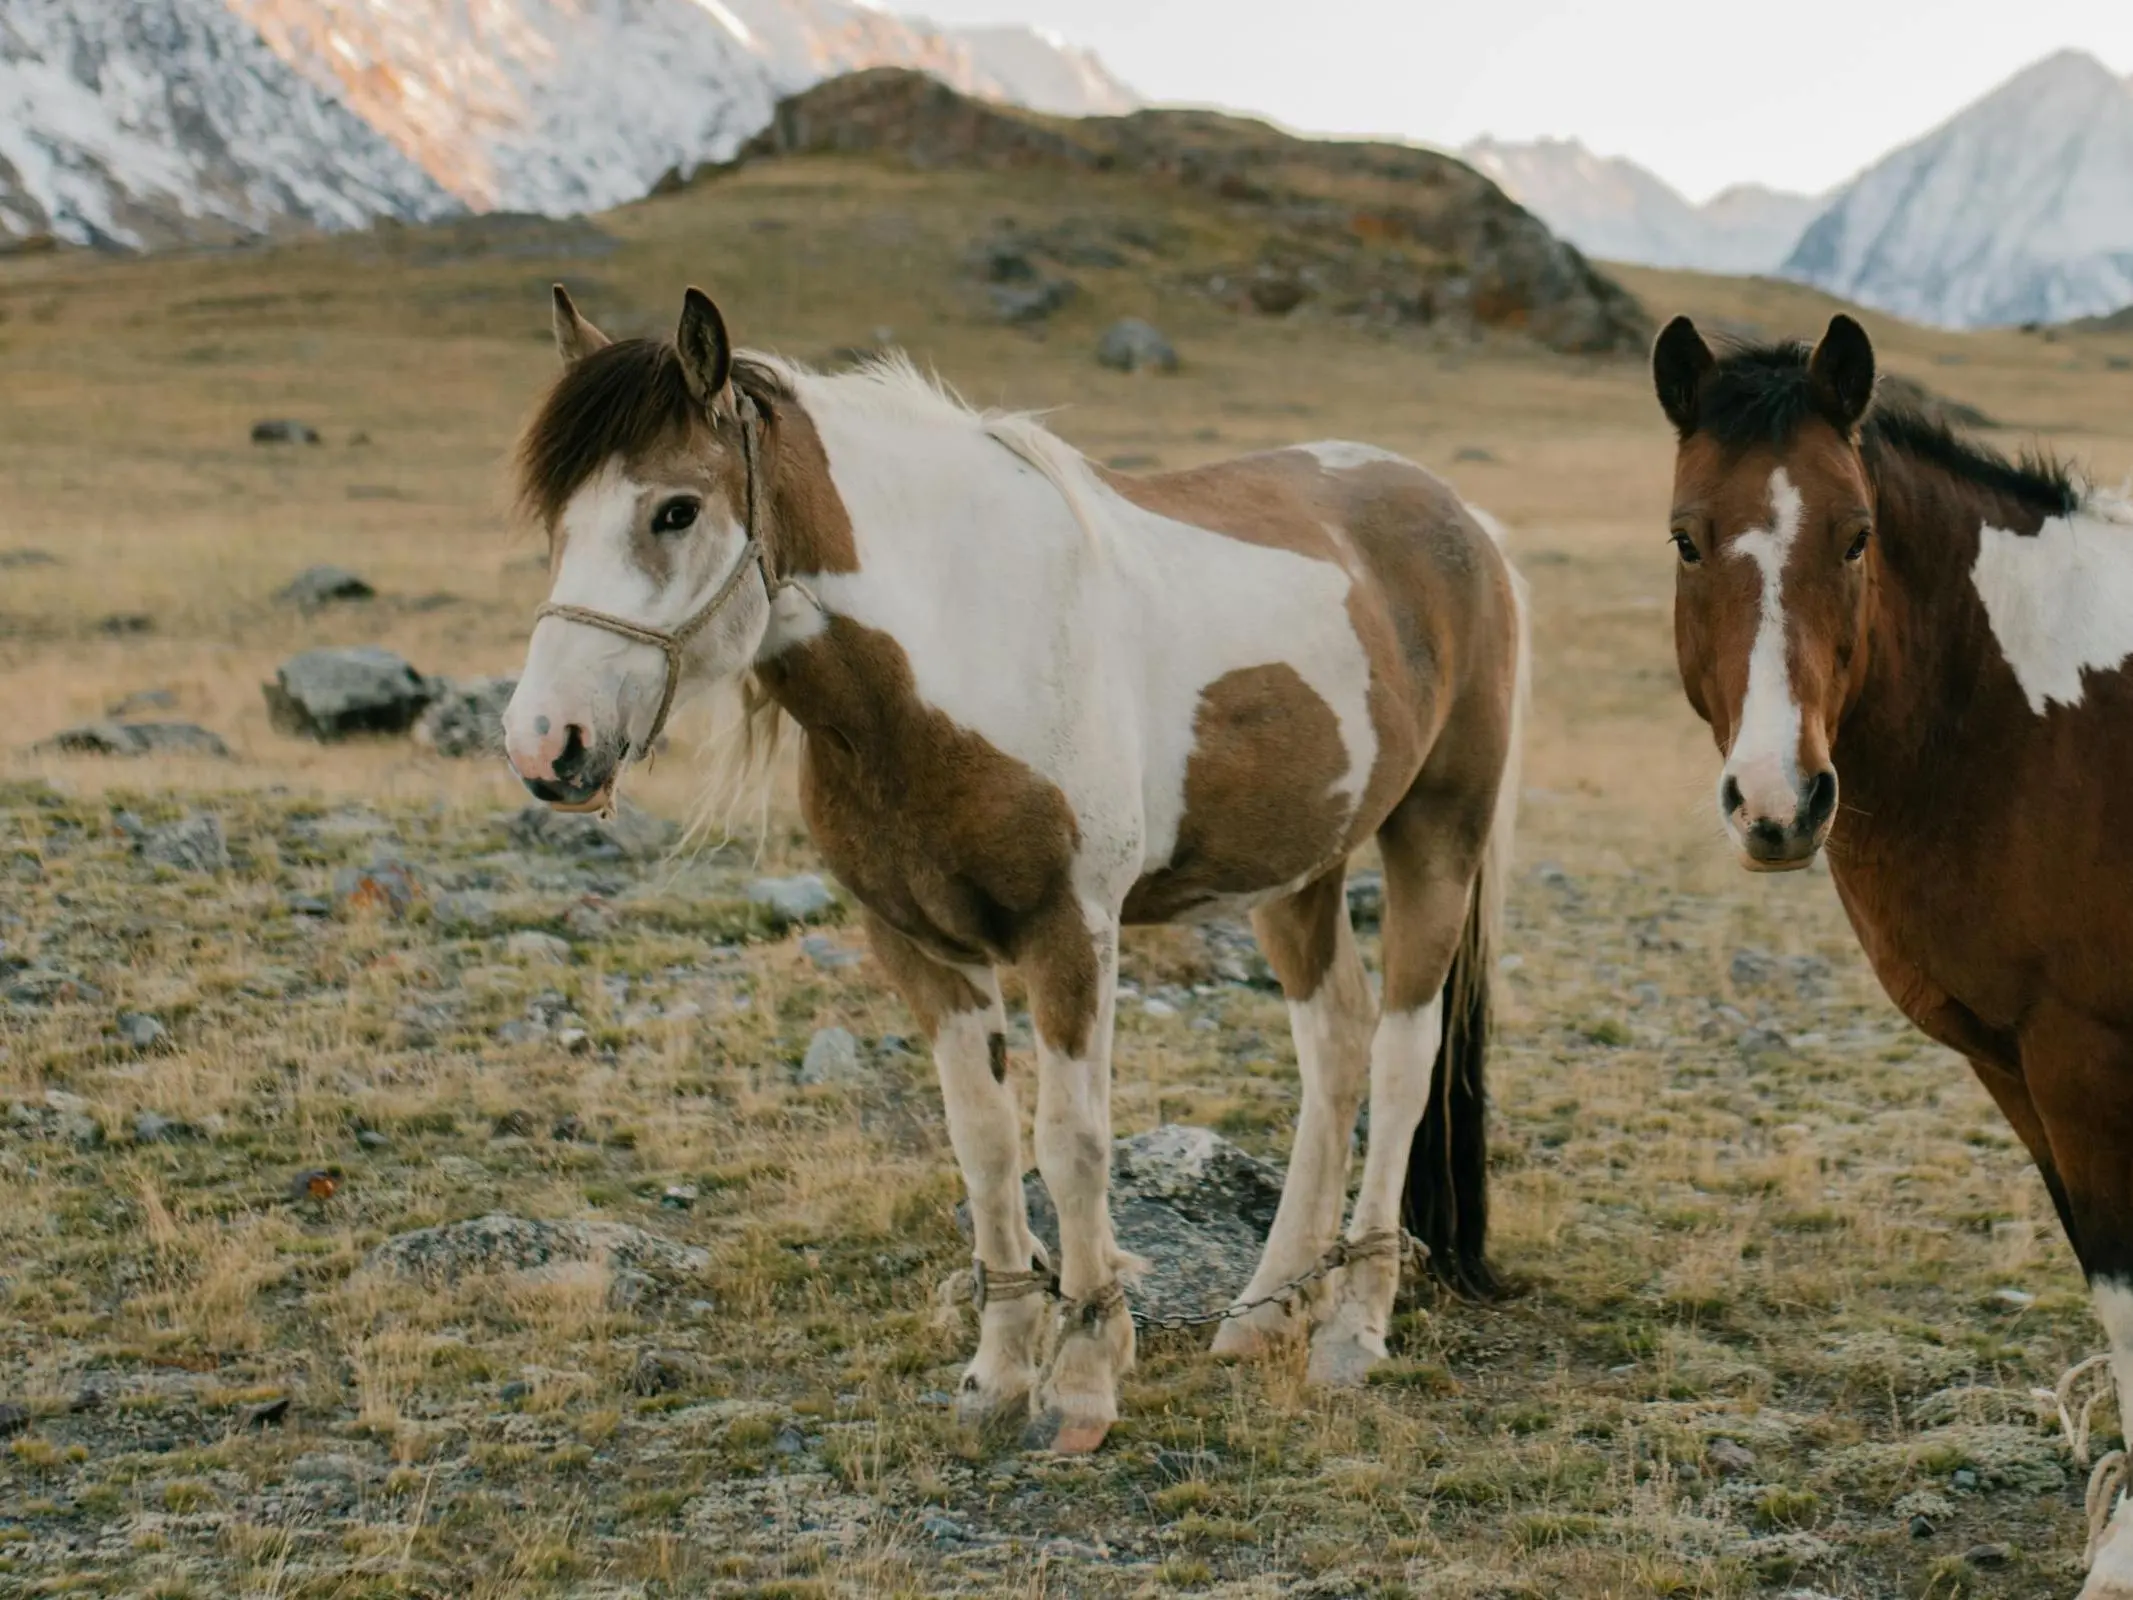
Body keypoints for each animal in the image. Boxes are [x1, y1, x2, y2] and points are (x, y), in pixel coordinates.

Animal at [499, 285, 1535, 1450]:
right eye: (557, 521)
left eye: (674, 510)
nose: (543, 744)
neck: (956, 650)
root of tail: (1461, 520)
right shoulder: (916, 946)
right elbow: (985, 1142)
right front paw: (996, 1370)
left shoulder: (1068, 932)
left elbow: (1071, 1143)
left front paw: (1082, 1377)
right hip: (1296, 872)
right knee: (1336, 1050)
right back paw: (1263, 1312)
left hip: (1436, 836)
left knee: (1401, 1057)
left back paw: (1352, 1326)